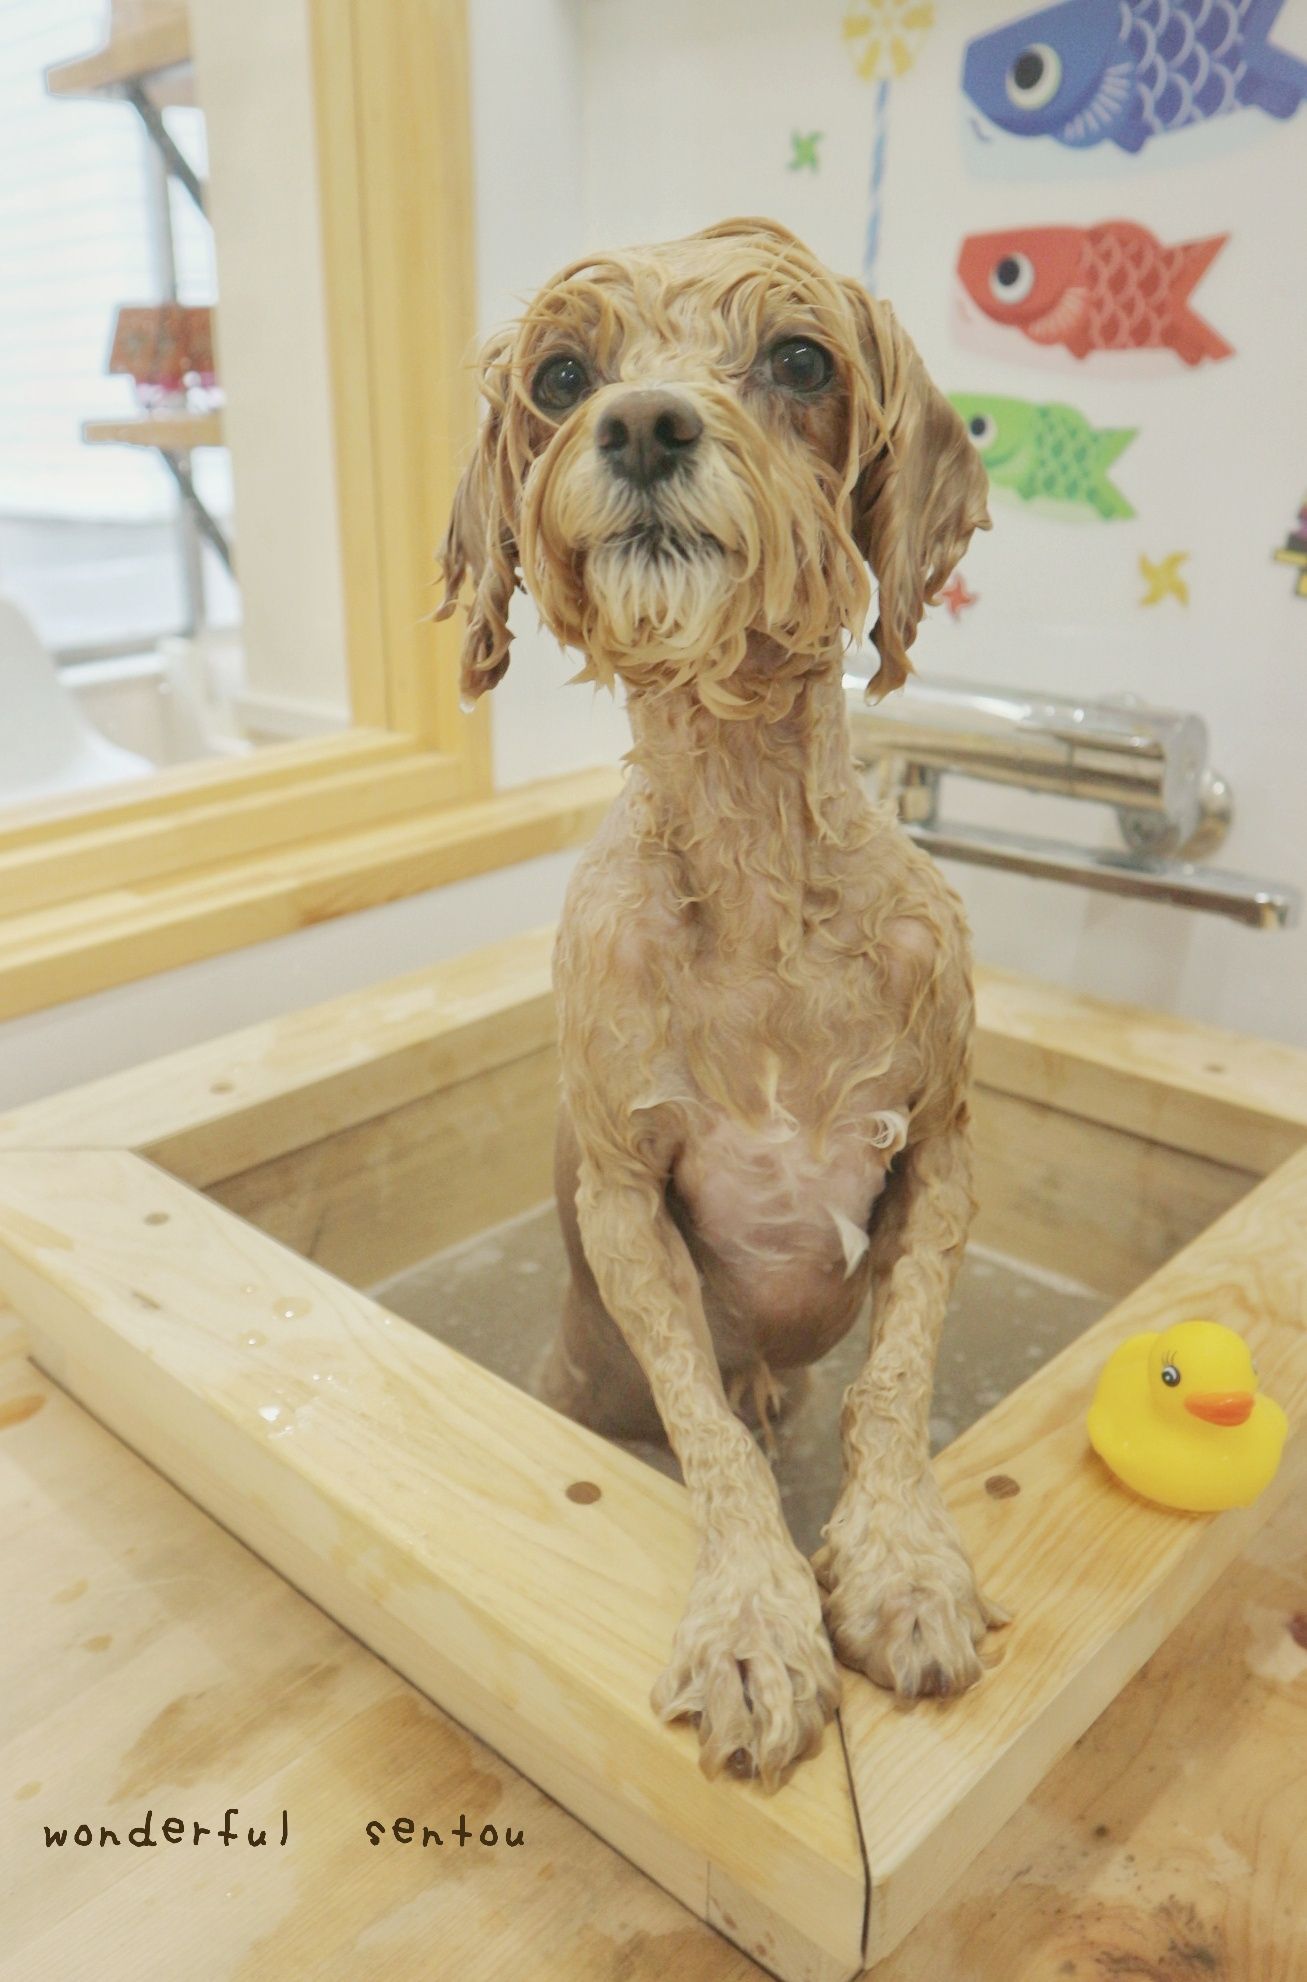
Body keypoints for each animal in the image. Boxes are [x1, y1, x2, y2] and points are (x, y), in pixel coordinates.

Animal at [438, 216, 1003, 1791]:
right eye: (561, 376)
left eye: (800, 360)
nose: (640, 423)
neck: (756, 886)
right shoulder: (626, 1198)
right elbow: (706, 1432)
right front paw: (754, 1625)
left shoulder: (940, 1150)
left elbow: (895, 1381)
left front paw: (899, 1565)